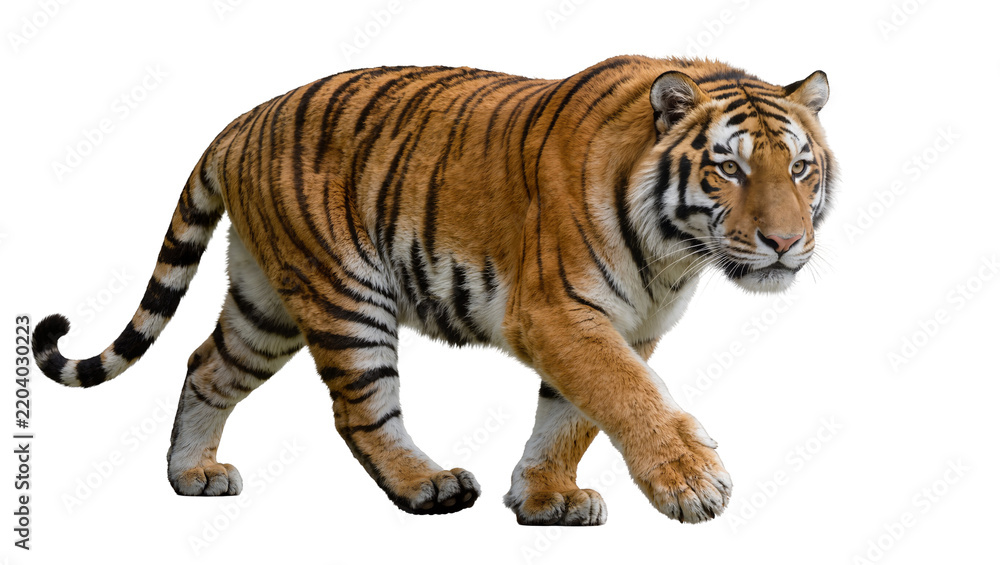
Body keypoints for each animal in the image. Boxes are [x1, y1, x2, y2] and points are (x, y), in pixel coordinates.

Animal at [32, 54, 835, 526]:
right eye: (729, 168)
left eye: (799, 168)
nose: (785, 242)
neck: (676, 255)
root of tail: (242, 121)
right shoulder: (557, 313)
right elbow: (626, 395)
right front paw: (692, 483)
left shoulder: (628, 326)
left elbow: (571, 415)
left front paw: (546, 497)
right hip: (345, 295)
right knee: (361, 412)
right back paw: (427, 484)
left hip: (266, 303)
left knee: (206, 364)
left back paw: (190, 475)